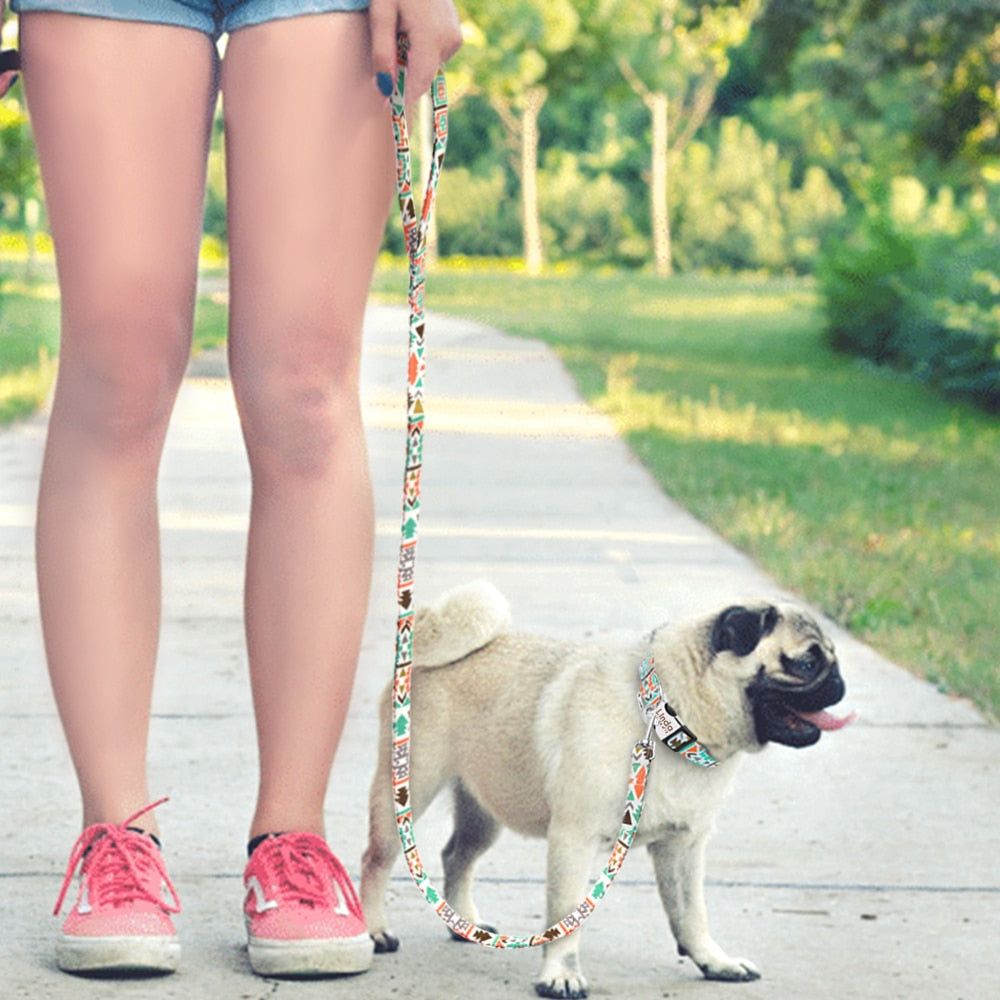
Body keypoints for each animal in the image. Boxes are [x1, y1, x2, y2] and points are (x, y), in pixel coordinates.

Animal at [360, 584, 852, 996]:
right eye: (807, 663)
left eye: (831, 659)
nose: (839, 682)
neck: (668, 718)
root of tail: (420, 648)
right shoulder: (573, 839)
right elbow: (566, 915)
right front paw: (560, 975)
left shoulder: (685, 845)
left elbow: (691, 912)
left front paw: (713, 961)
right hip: (408, 791)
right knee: (377, 860)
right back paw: (374, 930)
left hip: (485, 810)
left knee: (456, 857)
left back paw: (465, 925)